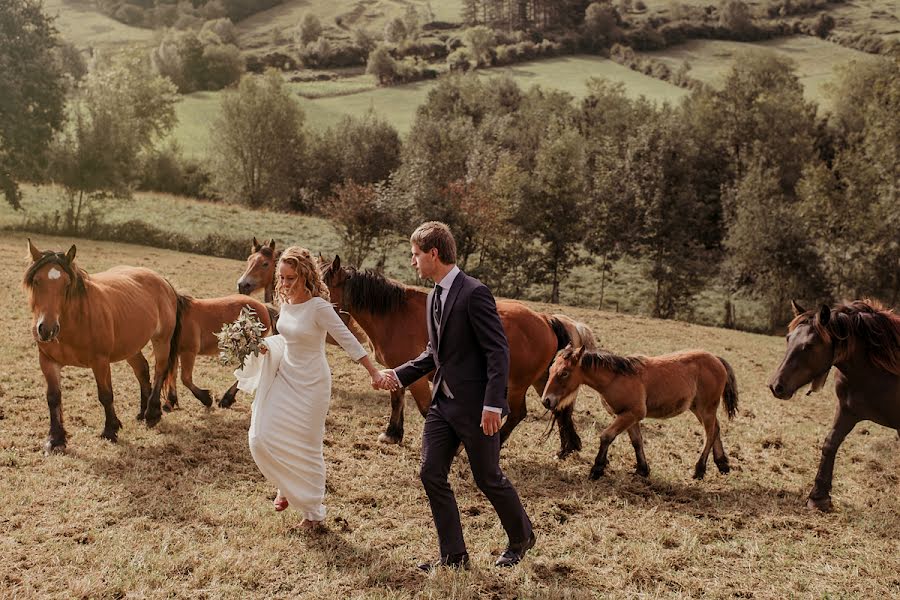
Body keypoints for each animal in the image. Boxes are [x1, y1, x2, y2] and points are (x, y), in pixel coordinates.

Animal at [22, 239, 183, 450]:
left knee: (160, 370)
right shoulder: (48, 362)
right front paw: (55, 439)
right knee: (142, 370)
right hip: (130, 346)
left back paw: (152, 413)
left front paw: (110, 430)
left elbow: (105, 395)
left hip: (161, 340)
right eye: (36, 281)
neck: (74, 321)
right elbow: (53, 397)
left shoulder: (100, 362)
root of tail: (163, 281)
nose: (47, 329)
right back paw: (143, 411)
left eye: (67, 284)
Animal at [322, 255, 596, 458]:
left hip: (518, 384)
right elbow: (396, 401)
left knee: (518, 414)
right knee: (560, 409)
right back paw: (567, 448)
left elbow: (425, 409)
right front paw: (392, 433)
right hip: (544, 381)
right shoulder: (399, 370)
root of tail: (544, 319)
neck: (395, 315)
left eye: (322, 288)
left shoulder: (418, 380)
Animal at [540, 344, 740, 480]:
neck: (616, 378)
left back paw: (699, 470)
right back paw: (723, 464)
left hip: (706, 408)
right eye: (550, 369)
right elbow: (636, 441)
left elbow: (606, 436)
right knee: (716, 429)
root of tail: (716, 359)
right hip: (698, 408)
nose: (546, 400)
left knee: (710, 433)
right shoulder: (628, 415)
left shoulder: (632, 413)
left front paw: (597, 469)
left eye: (564, 373)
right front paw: (642, 469)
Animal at [768, 300, 900, 510]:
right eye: (788, 339)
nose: (776, 386)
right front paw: (818, 497)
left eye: (809, 345)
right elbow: (830, 444)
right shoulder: (847, 411)